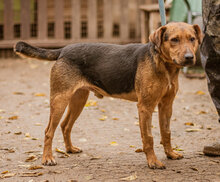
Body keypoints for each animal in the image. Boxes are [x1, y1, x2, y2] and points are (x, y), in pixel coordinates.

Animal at [14, 22, 202, 168]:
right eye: (174, 40)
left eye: (192, 39)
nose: (189, 57)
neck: (165, 66)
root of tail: (63, 50)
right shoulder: (145, 107)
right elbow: (148, 138)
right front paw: (153, 162)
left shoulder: (166, 105)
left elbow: (166, 132)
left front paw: (171, 154)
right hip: (60, 99)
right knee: (48, 131)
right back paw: (47, 158)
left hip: (79, 99)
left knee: (65, 125)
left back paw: (70, 149)